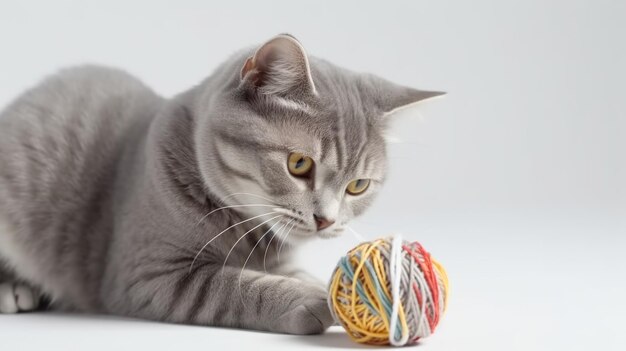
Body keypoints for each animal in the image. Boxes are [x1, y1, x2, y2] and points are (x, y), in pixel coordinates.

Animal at [0, 34, 438, 334]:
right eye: (298, 164)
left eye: (358, 186)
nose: (327, 221)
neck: (250, 234)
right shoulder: (148, 276)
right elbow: (230, 286)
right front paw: (312, 300)